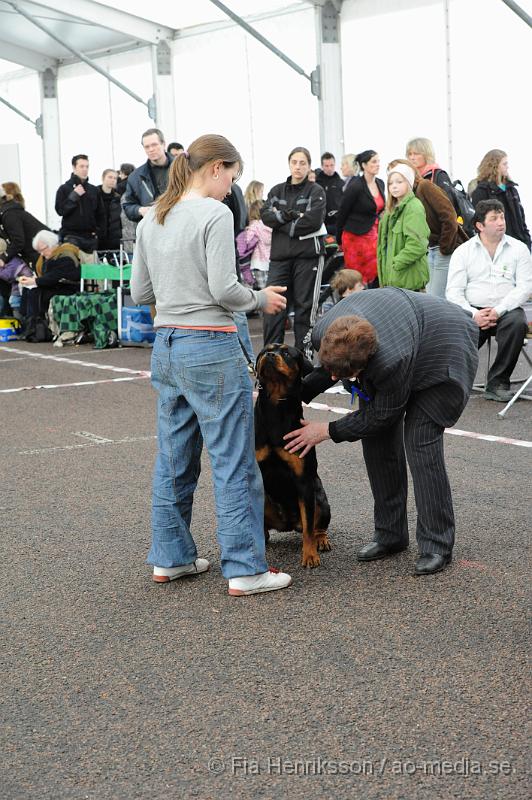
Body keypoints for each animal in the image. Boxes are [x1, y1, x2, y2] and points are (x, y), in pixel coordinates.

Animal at [255, 344, 332, 568]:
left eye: (288, 353)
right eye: (264, 351)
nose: (270, 355)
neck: (276, 404)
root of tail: (289, 523)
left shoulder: (304, 480)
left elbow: (308, 529)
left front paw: (310, 556)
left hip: (320, 500)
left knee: (315, 525)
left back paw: (321, 540)